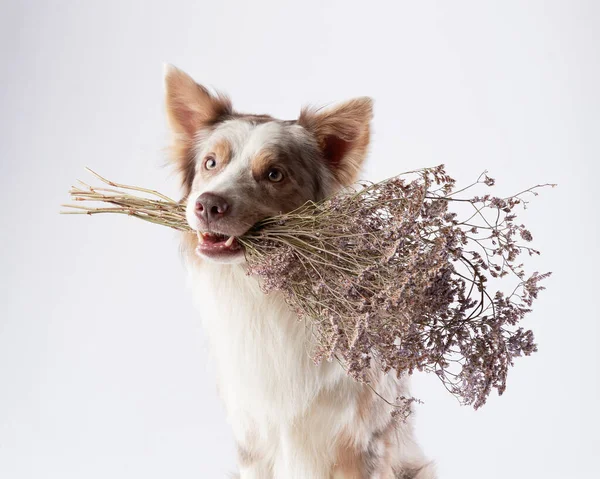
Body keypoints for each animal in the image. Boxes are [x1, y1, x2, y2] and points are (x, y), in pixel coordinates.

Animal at [164, 64, 436, 479]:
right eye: (211, 163)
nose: (207, 205)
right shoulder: (253, 443)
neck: (268, 294)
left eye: (274, 174)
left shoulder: (362, 444)